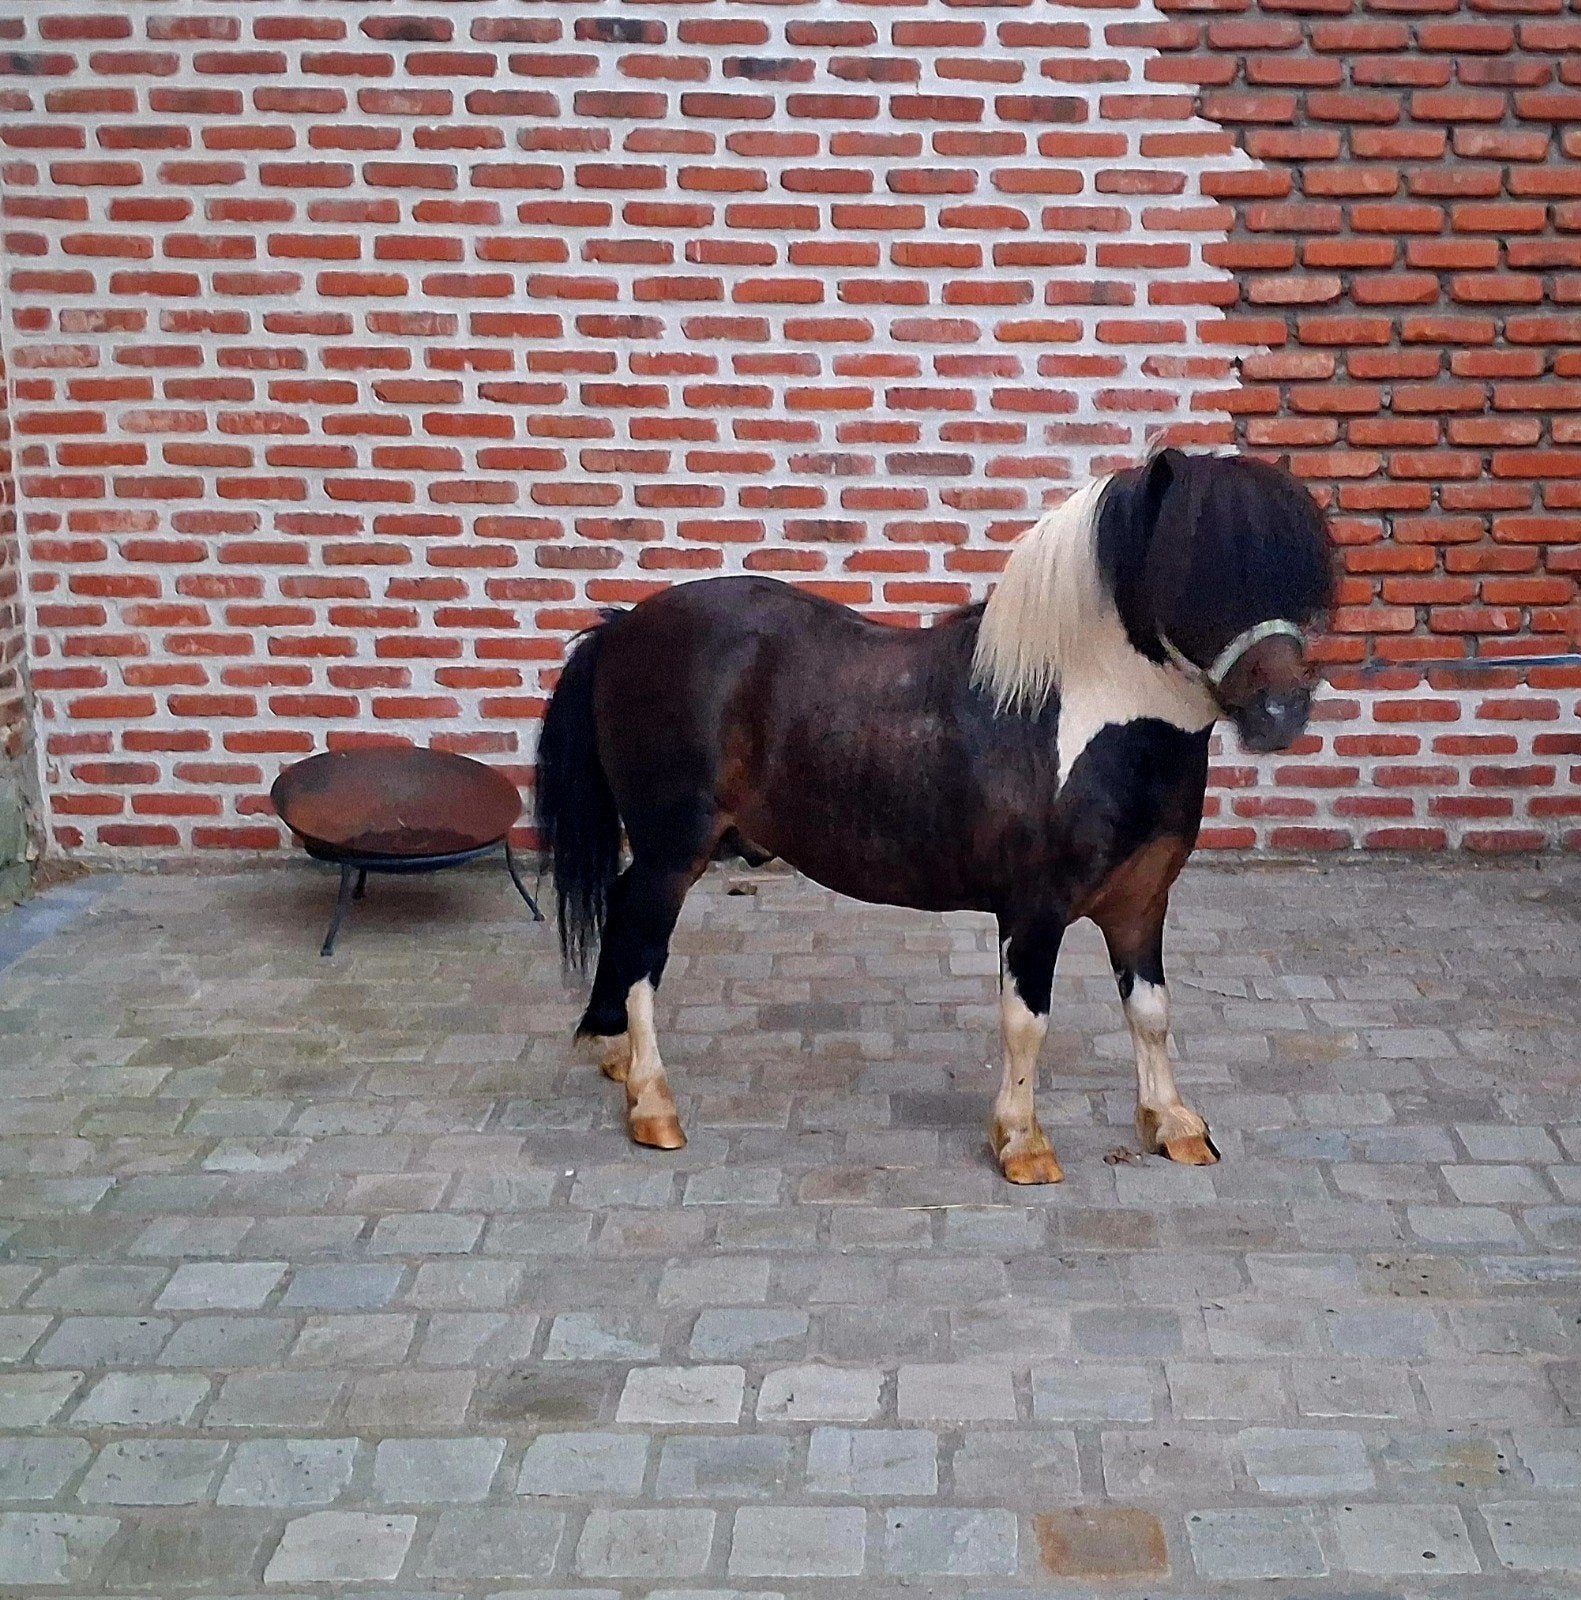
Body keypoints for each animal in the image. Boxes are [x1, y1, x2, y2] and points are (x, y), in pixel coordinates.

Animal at [535, 448, 1334, 1183]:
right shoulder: (1033, 909)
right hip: (675, 849)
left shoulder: (1141, 904)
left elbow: (1151, 1013)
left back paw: (611, 1050)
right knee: (643, 947)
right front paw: (1022, 1143)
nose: (1280, 711)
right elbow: (1026, 1022)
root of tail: (622, 628)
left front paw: (1172, 1125)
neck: (1091, 719)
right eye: (1191, 568)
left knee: (620, 911)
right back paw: (652, 1104)